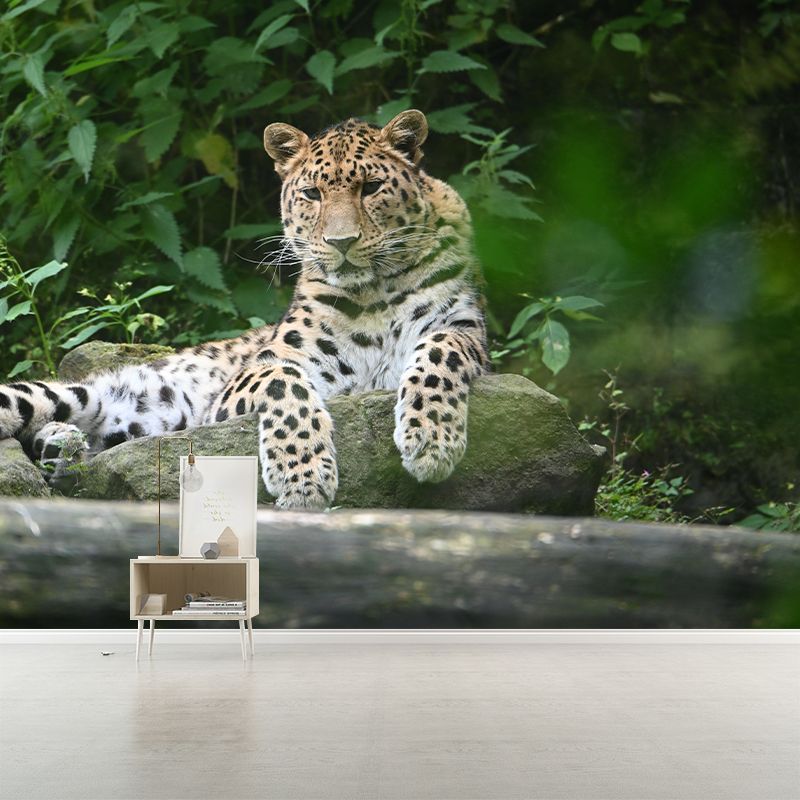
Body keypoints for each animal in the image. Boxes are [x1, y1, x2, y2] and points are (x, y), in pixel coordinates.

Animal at [0, 110, 489, 509]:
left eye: (371, 188)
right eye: (312, 193)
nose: (341, 243)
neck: (372, 295)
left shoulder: (466, 330)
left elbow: (439, 349)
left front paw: (431, 440)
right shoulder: (252, 377)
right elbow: (284, 383)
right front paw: (302, 475)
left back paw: (63, 447)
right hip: (65, 395)